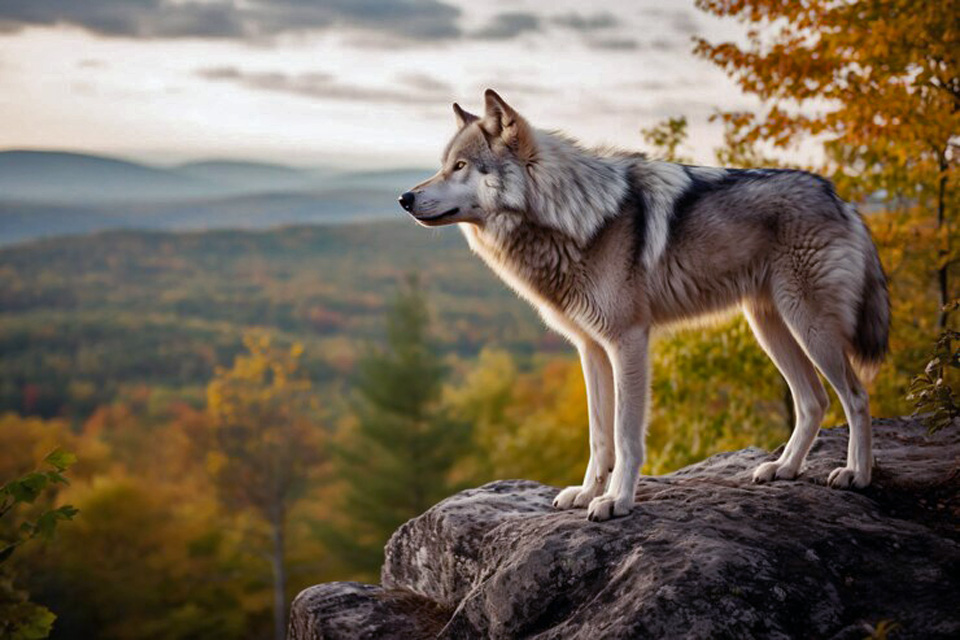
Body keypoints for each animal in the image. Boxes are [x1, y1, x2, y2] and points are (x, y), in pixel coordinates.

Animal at [398, 89, 892, 520]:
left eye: (460, 166)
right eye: (442, 166)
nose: (404, 198)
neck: (569, 217)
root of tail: (841, 197)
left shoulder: (628, 341)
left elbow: (625, 435)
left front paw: (617, 501)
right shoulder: (590, 349)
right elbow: (599, 437)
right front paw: (587, 493)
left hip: (809, 327)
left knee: (856, 395)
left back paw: (857, 474)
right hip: (769, 327)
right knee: (813, 400)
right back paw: (784, 468)